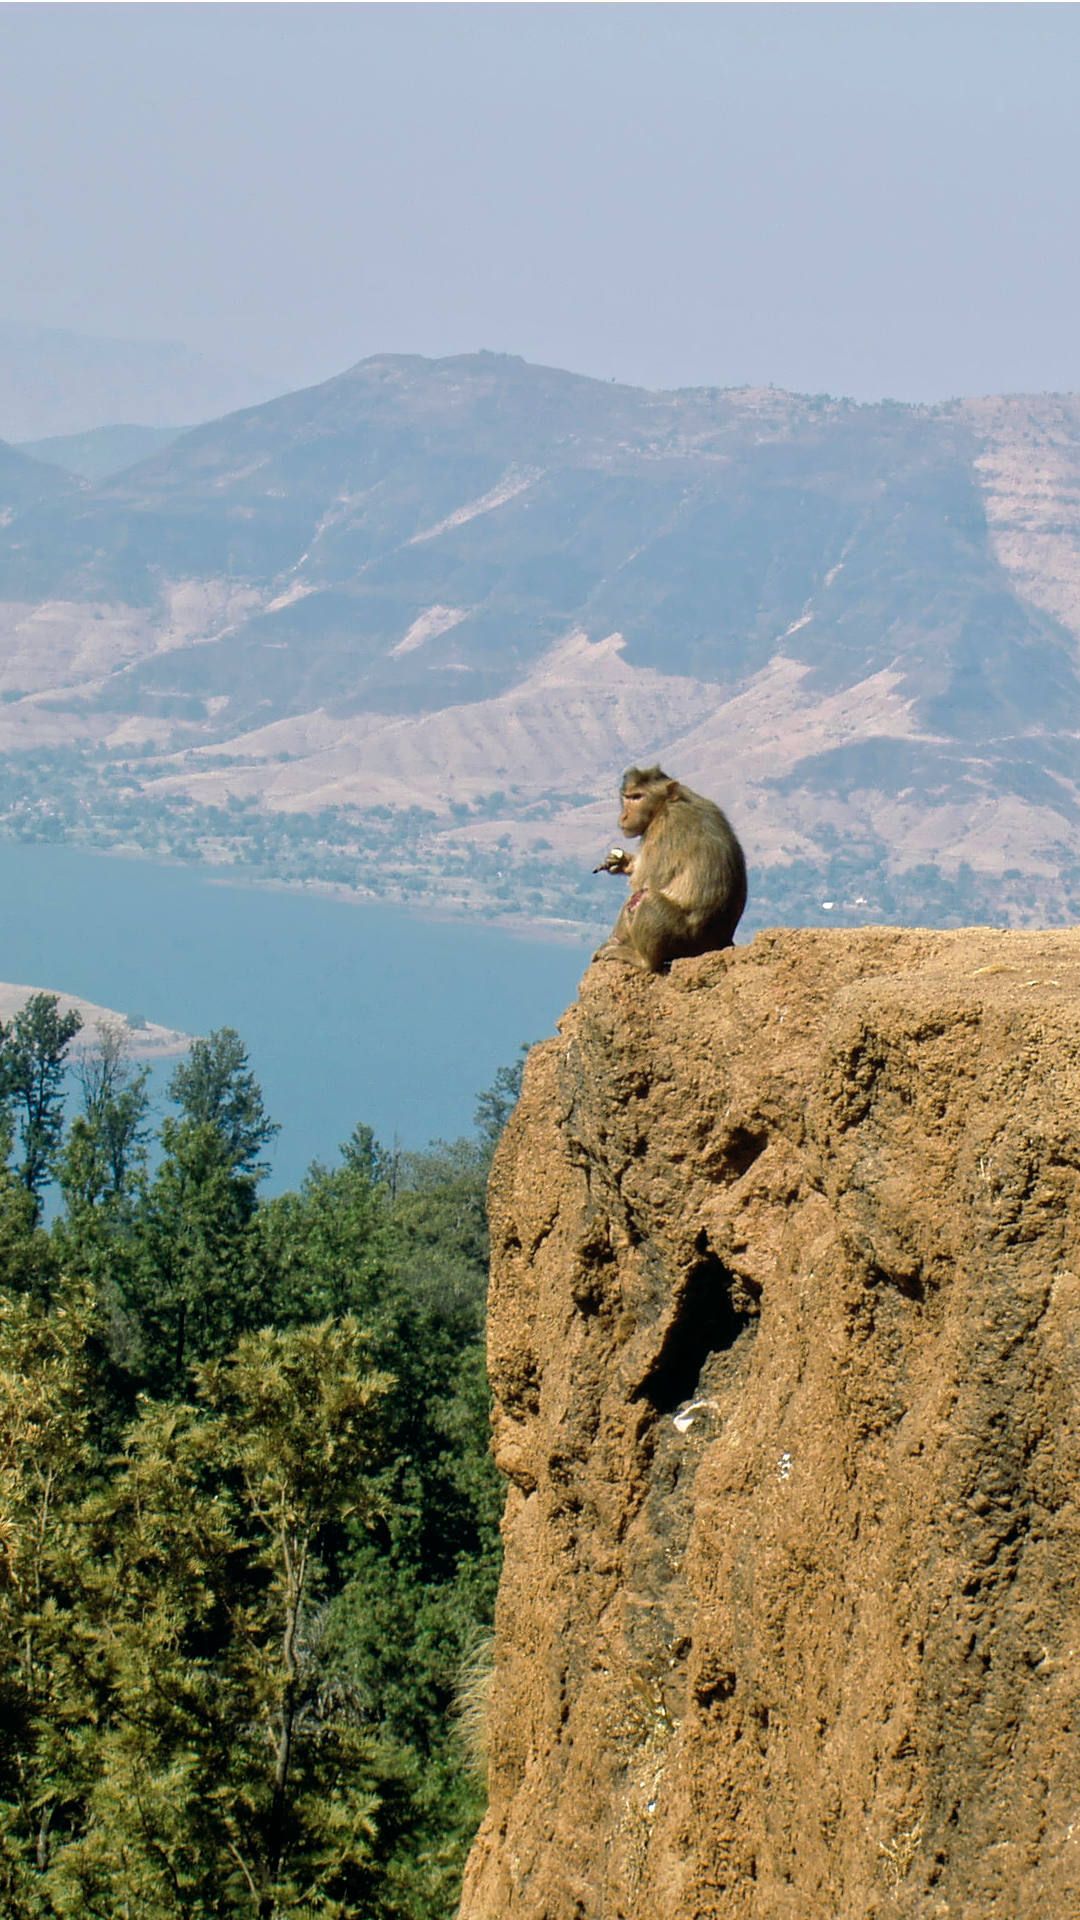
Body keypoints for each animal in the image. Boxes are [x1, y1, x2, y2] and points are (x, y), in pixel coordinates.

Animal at [593, 765, 747, 972]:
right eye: (627, 797)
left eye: (637, 797)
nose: (624, 816)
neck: (663, 805)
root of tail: (720, 943)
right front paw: (622, 862)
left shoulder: (663, 830)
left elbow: (642, 881)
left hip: (683, 940)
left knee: (644, 898)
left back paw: (642, 960)